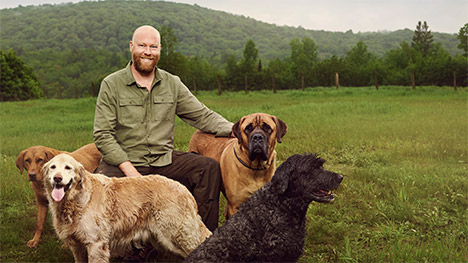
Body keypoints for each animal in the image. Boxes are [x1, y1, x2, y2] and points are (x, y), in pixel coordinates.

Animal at [42, 154, 210, 262]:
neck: (75, 201)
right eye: (53, 167)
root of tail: (184, 189)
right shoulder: (77, 246)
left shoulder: (96, 244)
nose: (57, 178)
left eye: (68, 168)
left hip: (176, 235)